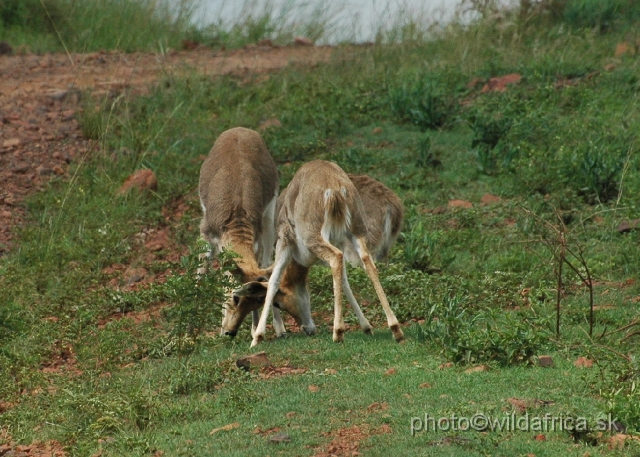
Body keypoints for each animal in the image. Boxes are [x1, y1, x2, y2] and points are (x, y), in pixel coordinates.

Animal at [198, 126, 288, 336]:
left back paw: (279, 329)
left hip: (269, 220)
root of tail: (240, 129)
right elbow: (202, 273)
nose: (230, 332)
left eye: (258, 300)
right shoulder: (207, 235)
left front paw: (254, 330)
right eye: (236, 297)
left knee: (267, 263)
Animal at [242, 160, 402, 346]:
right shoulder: (338, 241)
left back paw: (338, 332)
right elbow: (345, 280)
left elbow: (274, 280)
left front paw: (257, 337)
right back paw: (396, 329)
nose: (307, 329)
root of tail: (335, 191)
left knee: (336, 257)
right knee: (367, 262)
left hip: (312, 234)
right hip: (357, 229)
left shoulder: (284, 240)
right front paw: (367, 327)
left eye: (279, 304)